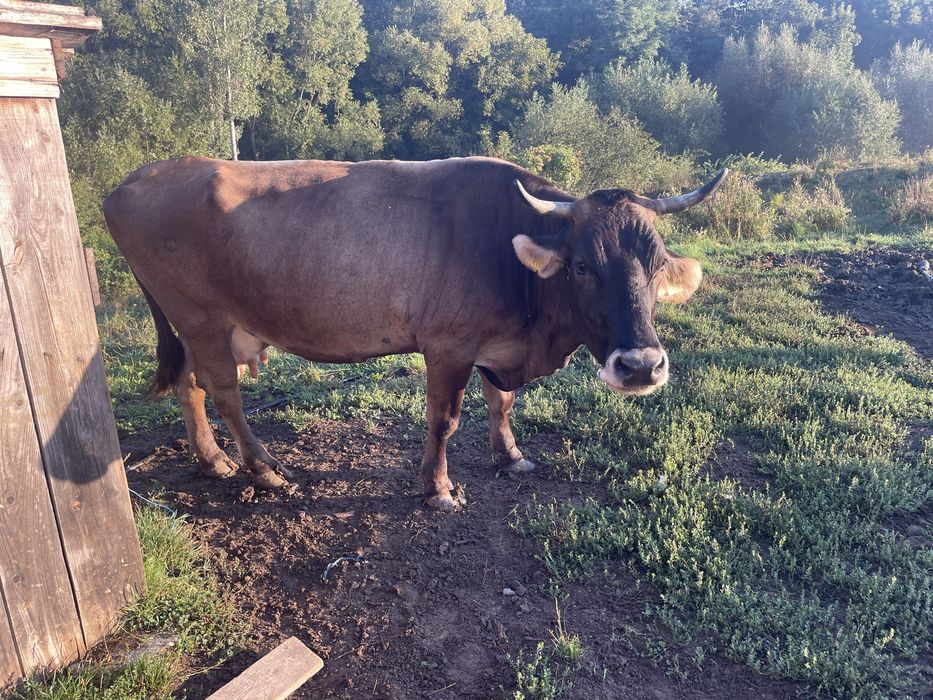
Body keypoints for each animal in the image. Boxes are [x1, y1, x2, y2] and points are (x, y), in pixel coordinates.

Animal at [103, 156, 726, 510]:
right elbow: (444, 420)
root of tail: (132, 181)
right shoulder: (448, 346)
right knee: (223, 390)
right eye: (580, 266)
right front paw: (439, 488)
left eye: (657, 263)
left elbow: (501, 403)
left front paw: (510, 456)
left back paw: (212, 459)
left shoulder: (493, 346)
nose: (640, 366)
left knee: (189, 384)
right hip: (201, 316)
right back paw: (263, 469)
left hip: (203, 325)